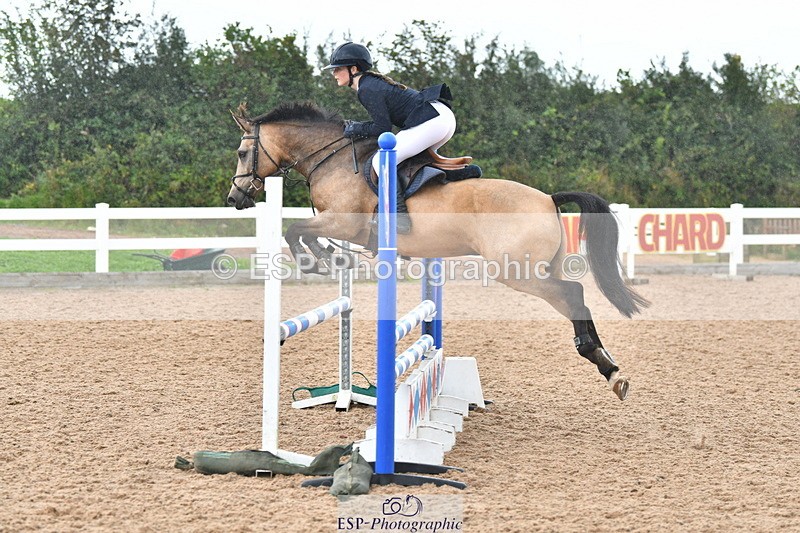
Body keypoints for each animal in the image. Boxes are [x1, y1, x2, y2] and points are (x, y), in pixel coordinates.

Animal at [227, 101, 649, 400]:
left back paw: (603, 364)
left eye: (243, 153)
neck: (333, 160)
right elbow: (302, 232)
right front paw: (334, 258)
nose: (235, 198)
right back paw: (610, 368)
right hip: (540, 267)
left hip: (518, 272)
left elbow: (294, 230)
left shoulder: (343, 223)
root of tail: (548, 198)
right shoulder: (341, 226)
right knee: (576, 298)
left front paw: (321, 261)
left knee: (573, 294)